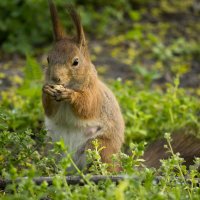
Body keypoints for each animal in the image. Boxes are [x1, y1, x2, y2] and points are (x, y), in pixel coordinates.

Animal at [42, 0, 200, 171]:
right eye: (48, 59)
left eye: (76, 62)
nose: (55, 78)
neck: (71, 85)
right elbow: (49, 110)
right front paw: (46, 90)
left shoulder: (95, 94)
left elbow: (87, 106)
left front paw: (71, 95)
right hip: (52, 147)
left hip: (99, 146)